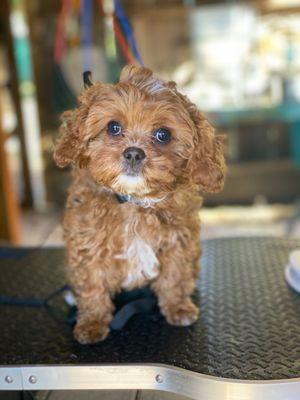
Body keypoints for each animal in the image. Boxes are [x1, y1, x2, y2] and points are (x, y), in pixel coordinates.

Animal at [54, 65, 225, 344]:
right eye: (113, 127)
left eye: (163, 134)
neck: (134, 201)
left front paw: (177, 308)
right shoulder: (89, 245)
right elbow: (93, 285)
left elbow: (174, 277)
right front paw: (91, 323)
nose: (134, 153)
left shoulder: (178, 243)